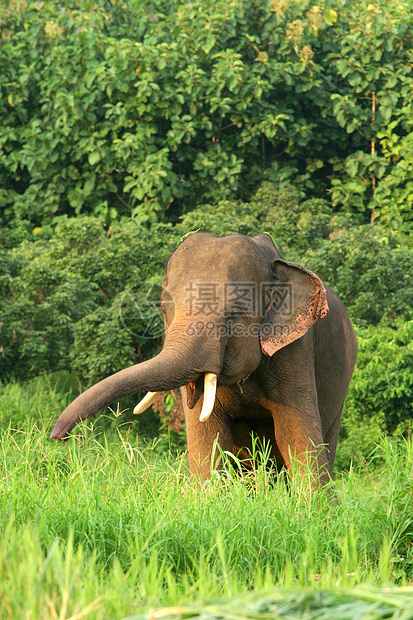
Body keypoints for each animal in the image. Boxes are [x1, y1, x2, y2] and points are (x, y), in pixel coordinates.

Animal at [49, 232, 358, 484]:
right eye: (165, 309)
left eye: (232, 316)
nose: (57, 436)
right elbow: (208, 436)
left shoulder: (295, 350)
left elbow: (296, 435)